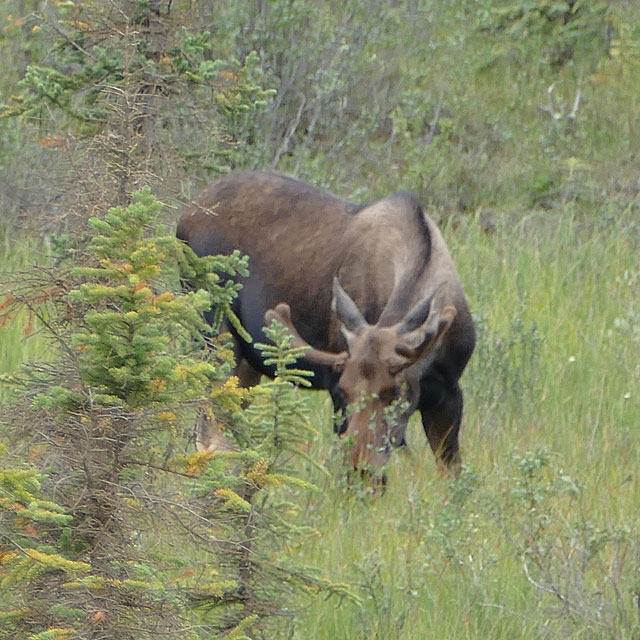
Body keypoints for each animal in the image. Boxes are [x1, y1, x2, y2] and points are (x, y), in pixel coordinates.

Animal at [176, 172, 476, 478]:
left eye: (394, 393)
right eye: (345, 391)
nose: (360, 464)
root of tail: (185, 214)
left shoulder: (450, 392)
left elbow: (452, 474)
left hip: (247, 362)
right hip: (214, 334)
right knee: (209, 429)